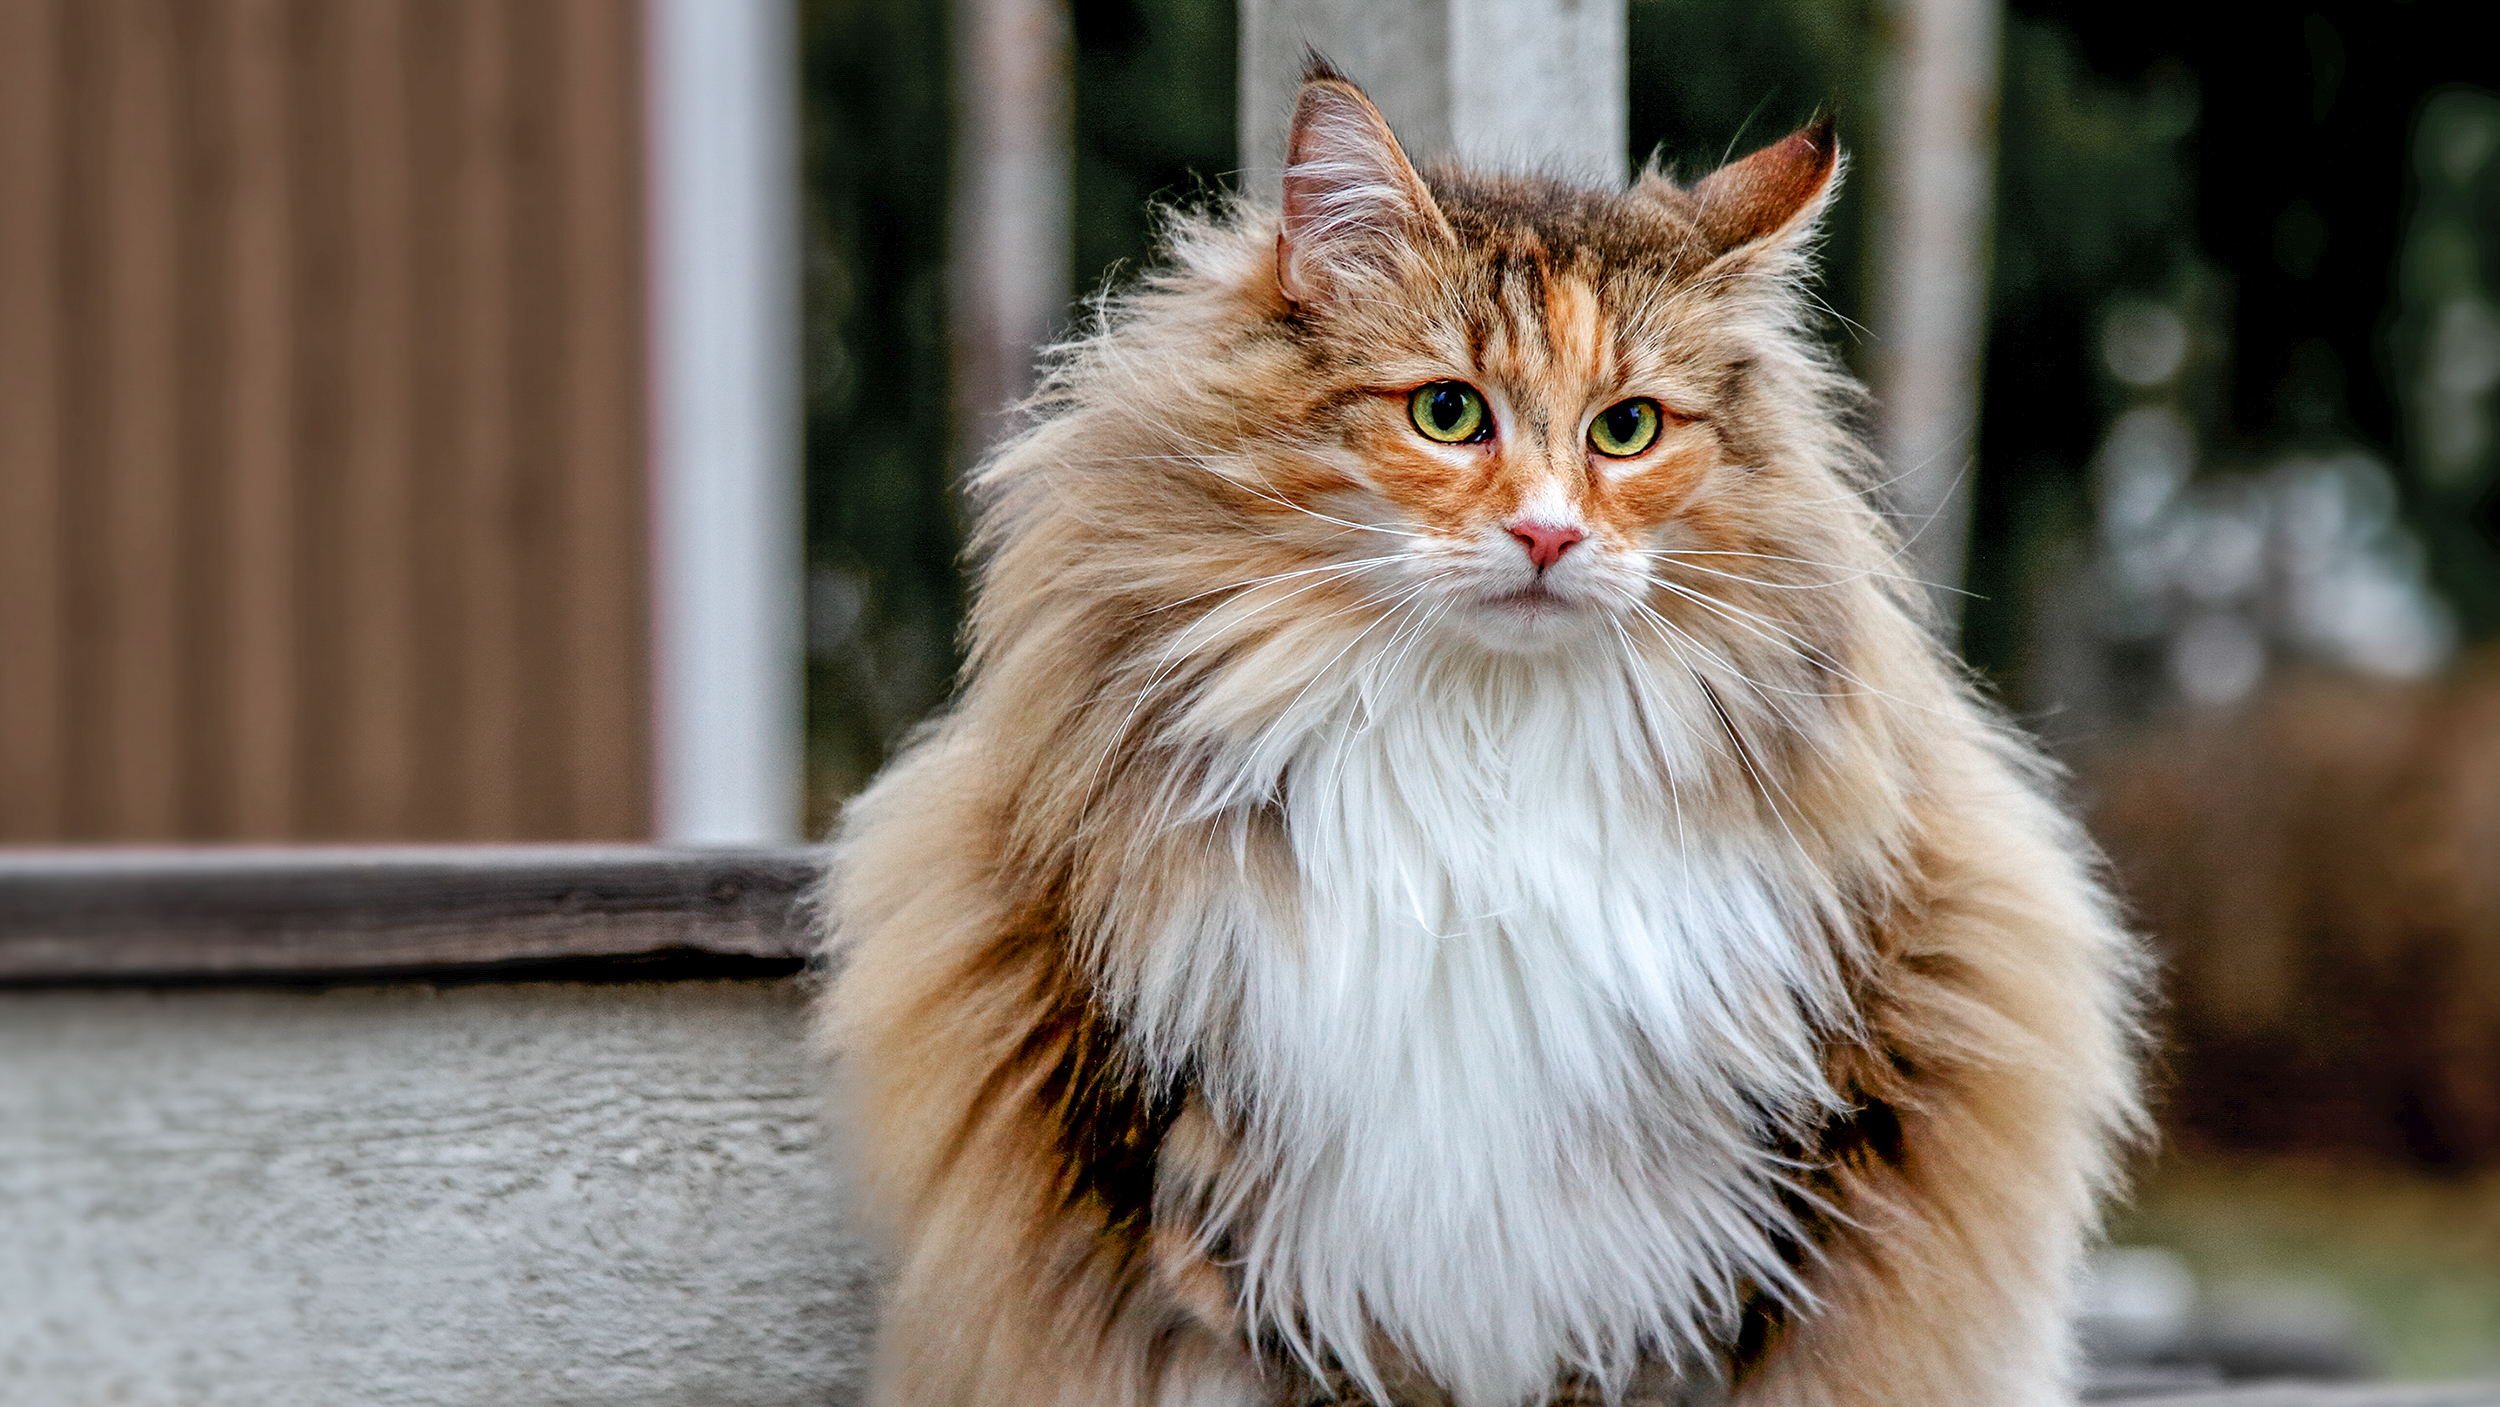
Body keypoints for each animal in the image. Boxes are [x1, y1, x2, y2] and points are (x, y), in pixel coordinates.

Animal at [820, 57, 2150, 1407]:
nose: (1549, 535)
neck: (1483, 761)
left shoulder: (1704, 1247)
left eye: (1626, 429)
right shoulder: (1226, 1229)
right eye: (1449, 414)